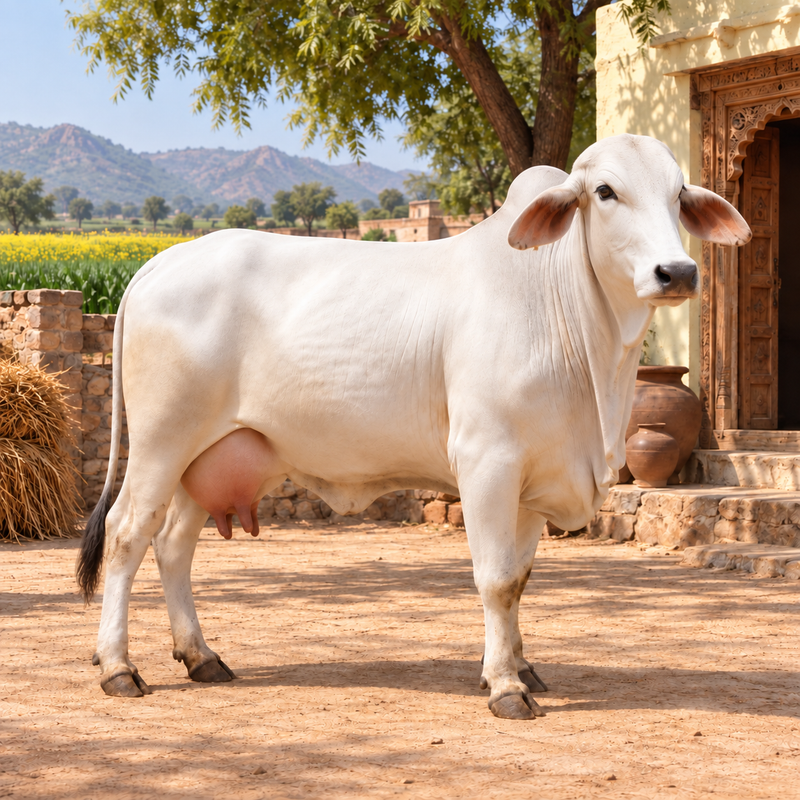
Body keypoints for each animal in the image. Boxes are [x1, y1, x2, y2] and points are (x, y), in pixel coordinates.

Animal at [77, 134, 750, 720]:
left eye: (678, 193)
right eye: (606, 191)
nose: (677, 272)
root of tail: (157, 264)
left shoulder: (535, 476)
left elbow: (520, 579)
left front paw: (521, 667)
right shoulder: (487, 461)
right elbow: (495, 580)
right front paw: (505, 687)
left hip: (207, 455)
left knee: (174, 545)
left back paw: (200, 655)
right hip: (162, 443)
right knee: (128, 534)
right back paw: (118, 668)